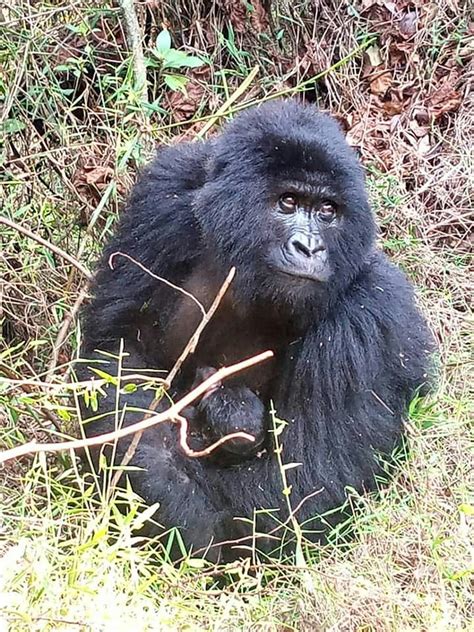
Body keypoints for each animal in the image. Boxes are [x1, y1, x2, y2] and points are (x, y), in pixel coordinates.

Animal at [77, 99, 434, 564]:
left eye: (327, 211)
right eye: (288, 202)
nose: (309, 247)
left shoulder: (371, 316)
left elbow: (300, 494)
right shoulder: (163, 195)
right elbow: (119, 351)